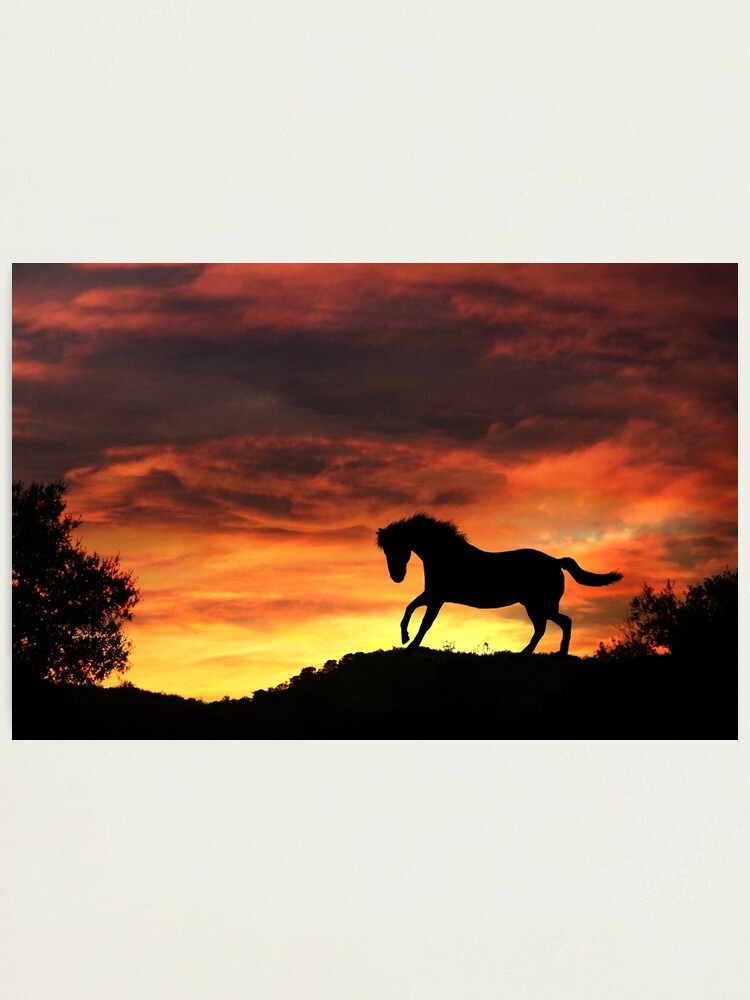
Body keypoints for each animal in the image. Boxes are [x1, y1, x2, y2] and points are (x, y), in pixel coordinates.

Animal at [376, 512, 622, 656]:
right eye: (385, 550)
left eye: (396, 547)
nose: (396, 577)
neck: (445, 555)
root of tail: (555, 561)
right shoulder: (433, 594)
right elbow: (410, 608)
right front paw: (405, 638)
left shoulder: (438, 597)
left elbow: (425, 622)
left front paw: (410, 646)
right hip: (535, 605)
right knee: (548, 626)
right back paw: (531, 654)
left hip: (539, 605)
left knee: (559, 623)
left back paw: (544, 654)